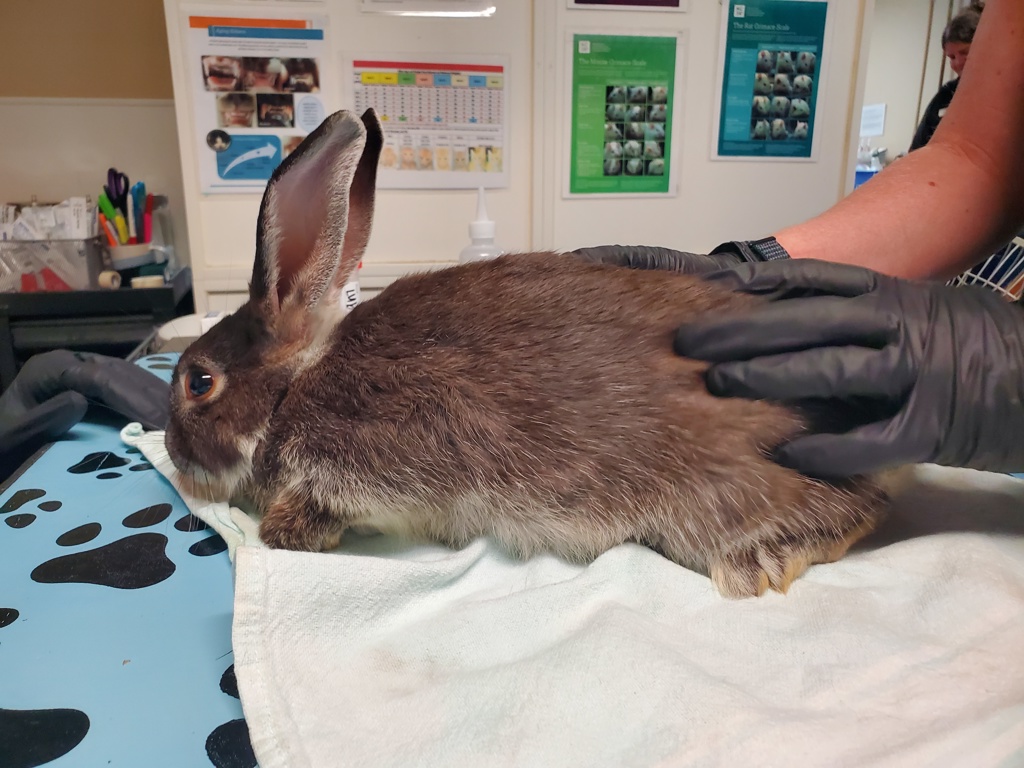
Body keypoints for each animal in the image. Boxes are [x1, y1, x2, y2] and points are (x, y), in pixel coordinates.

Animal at [165, 109, 888, 599]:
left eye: (199, 382)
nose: (173, 454)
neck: (294, 389)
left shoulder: (371, 459)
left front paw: (285, 526)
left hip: (714, 494)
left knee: (856, 510)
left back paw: (758, 561)